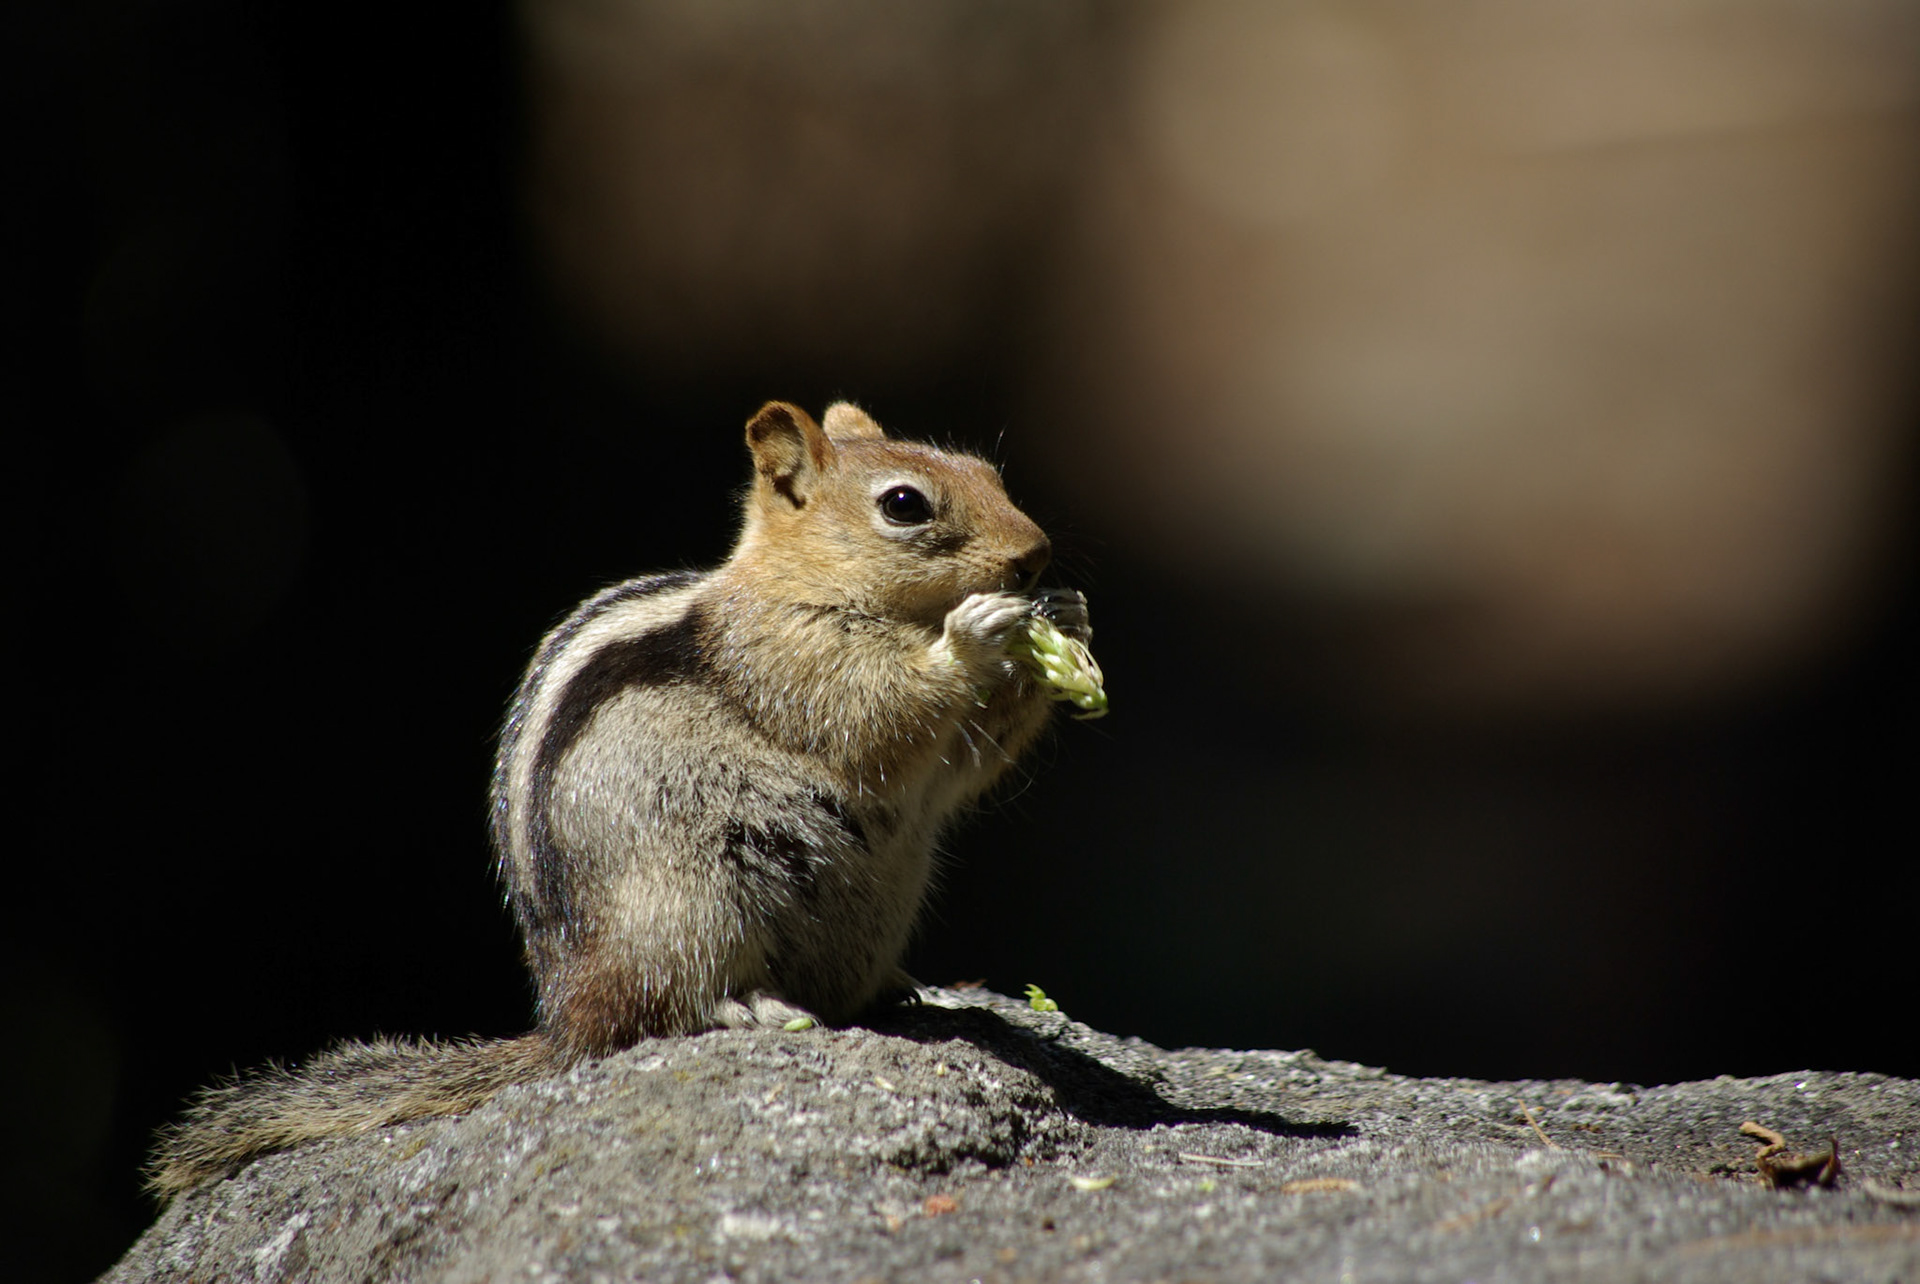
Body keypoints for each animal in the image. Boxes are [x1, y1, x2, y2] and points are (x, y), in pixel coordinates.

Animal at [149, 400, 1092, 1199]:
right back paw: (751, 1006)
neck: (804, 583)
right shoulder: (791, 660)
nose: (1038, 553)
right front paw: (977, 635)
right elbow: (883, 710)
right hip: (691, 903)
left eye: (987, 470)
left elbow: (965, 763)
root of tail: (567, 1019)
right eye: (904, 505)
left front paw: (1066, 619)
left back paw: (898, 987)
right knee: (664, 1010)